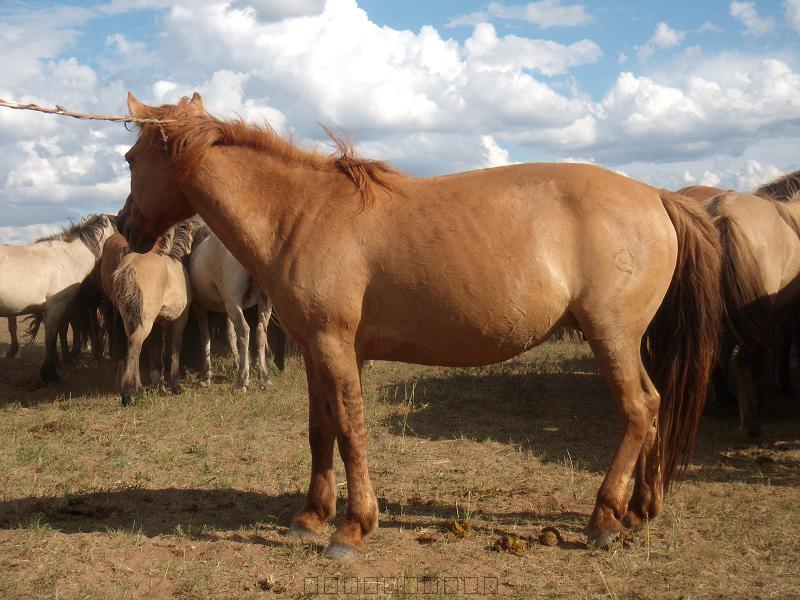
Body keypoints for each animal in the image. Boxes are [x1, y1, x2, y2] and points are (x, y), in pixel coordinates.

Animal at [0, 215, 116, 381]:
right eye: (117, 226)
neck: (69, 257)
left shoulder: (48, 308)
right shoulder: (56, 306)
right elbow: (52, 337)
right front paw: (50, 374)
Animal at [113, 219, 198, 405]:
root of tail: (129, 268)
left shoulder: (158, 324)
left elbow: (155, 352)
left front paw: (159, 385)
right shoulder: (180, 320)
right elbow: (174, 350)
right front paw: (176, 386)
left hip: (130, 320)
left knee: (134, 346)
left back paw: (138, 390)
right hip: (145, 322)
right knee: (135, 345)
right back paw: (128, 394)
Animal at [188, 225, 274, 390]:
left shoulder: (199, 306)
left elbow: (205, 336)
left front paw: (206, 376)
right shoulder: (226, 308)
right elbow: (230, 334)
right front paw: (238, 362)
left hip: (233, 304)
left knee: (244, 330)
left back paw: (241, 381)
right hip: (260, 304)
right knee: (261, 331)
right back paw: (264, 378)